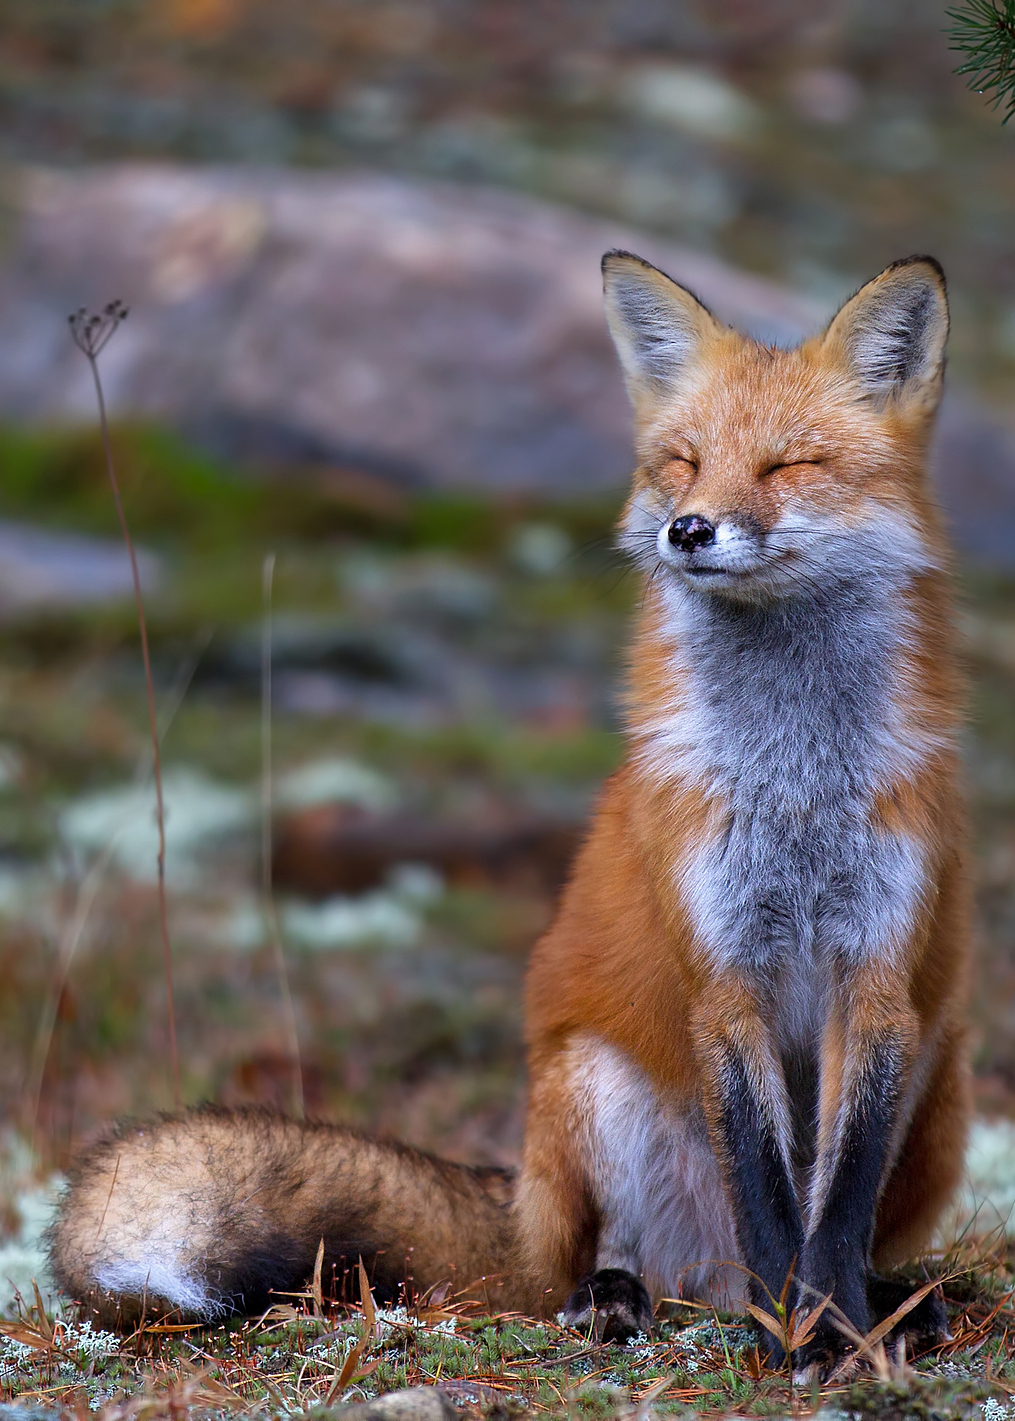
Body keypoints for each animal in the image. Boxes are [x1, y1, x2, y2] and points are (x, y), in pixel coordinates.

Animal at [48, 251, 970, 1375]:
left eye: (788, 464)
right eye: (682, 462)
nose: (687, 529)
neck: (792, 783)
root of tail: (520, 1200)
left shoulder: (876, 977)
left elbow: (830, 1205)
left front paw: (834, 1328)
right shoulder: (722, 974)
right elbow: (767, 1192)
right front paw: (792, 1334)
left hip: (938, 1066)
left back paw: (897, 1301)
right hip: (591, 1086)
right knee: (614, 1261)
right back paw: (623, 1298)